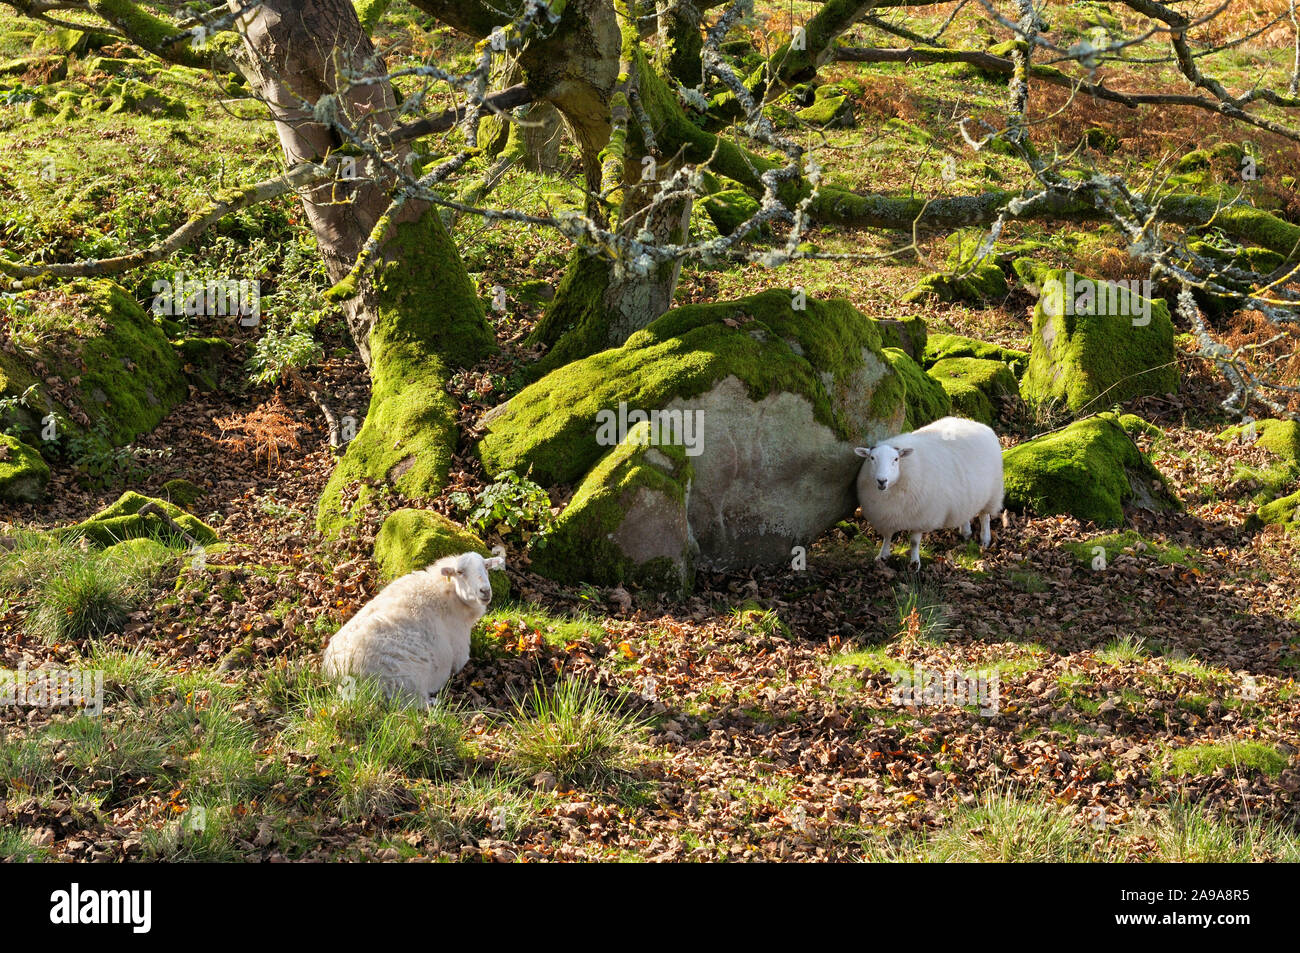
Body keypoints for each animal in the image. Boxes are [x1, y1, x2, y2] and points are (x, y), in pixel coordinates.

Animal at [321, 551, 505, 706]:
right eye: (460, 572)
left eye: (486, 567)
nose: (485, 591)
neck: (447, 594)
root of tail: (339, 675)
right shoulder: (459, 652)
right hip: (403, 684)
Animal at [853, 415, 1004, 570]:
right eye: (872, 458)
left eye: (896, 459)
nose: (882, 481)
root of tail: (977, 423)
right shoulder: (885, 516)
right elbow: (887, 537)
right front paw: (882, 556)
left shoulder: (921, 517)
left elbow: (914, 542)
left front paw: (915, 563)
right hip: (967, 493)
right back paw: (966, 532)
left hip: (993, 492)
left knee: (985, 516)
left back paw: (985, 539)